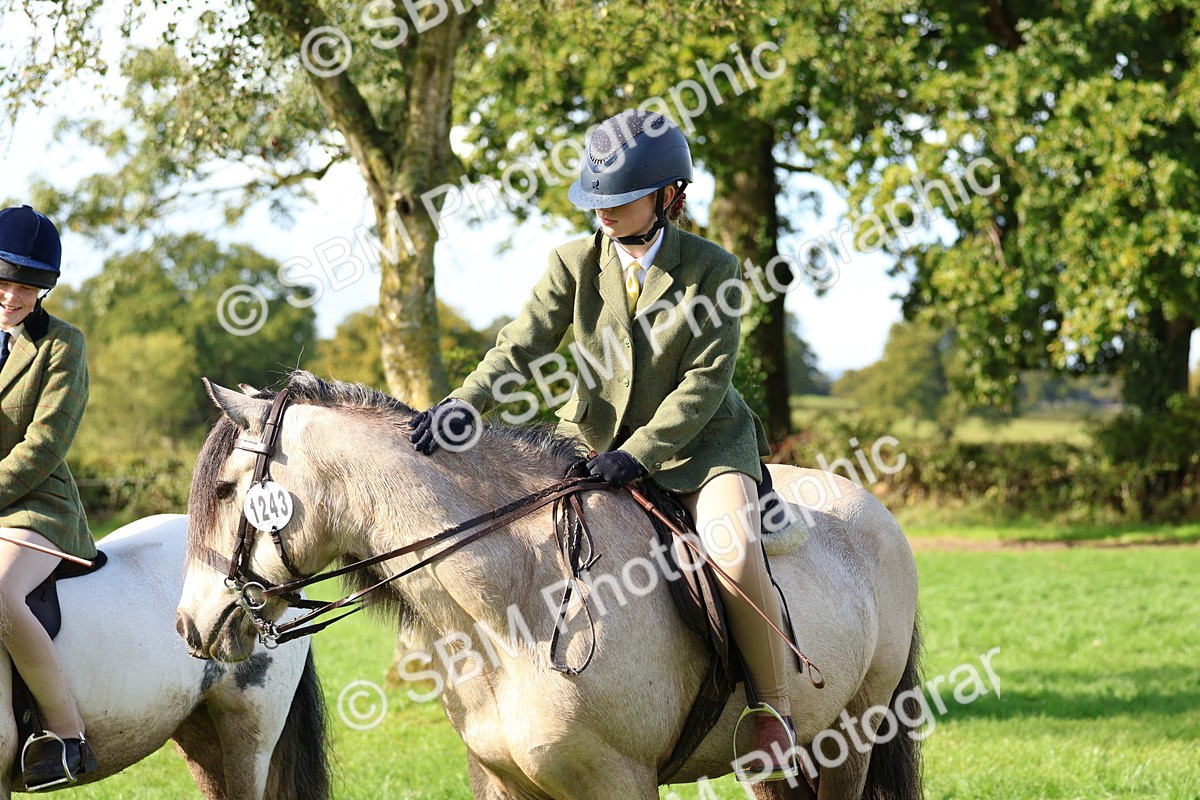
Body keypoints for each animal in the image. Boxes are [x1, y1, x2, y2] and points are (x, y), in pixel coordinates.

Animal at [177, 372, 921, 800]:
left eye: (226, 489)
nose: (189, 625)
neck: (511, 610)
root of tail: (873, 508)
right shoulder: (501, 781)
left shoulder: (620, 783)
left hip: (854, 734)